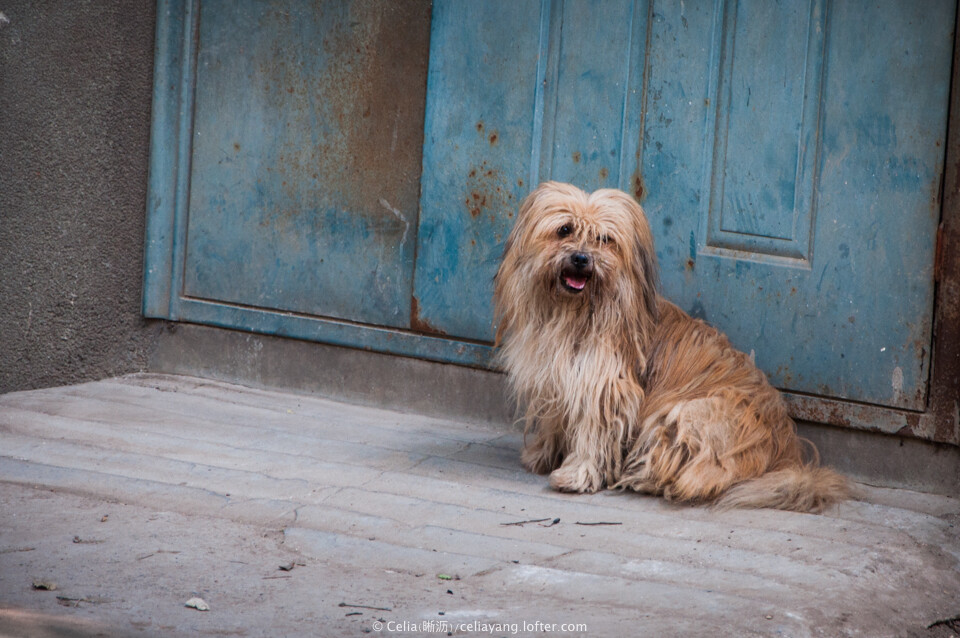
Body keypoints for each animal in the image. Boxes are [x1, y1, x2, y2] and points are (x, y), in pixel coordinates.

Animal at [496, 182, 848, 512]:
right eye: (565, 230)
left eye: (605, 239)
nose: (581, 259)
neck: (575, 313)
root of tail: (784, 456)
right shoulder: (557, 378)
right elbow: (554, 420)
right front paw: (542, 454)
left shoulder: (604, 387)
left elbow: (593, 436)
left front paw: (576, 474)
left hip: (689, 413)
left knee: (698, 473)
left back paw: (643, 478)